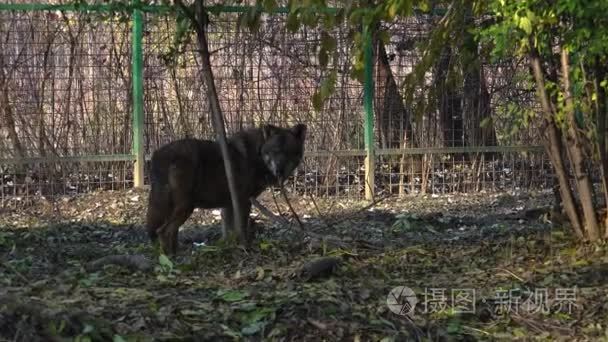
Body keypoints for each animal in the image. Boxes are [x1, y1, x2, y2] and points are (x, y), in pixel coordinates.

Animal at [145, 123, 306, 254]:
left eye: (289, 152)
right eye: (275, 151)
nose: (280, 170)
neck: (257, 154)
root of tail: (158, 154)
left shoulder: (228, 204)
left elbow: (228, 231)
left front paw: (227, 246)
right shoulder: (243, 201)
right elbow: (241, 228)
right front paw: (244, 247)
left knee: (170, 231)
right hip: (186, 206)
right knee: (164, 231)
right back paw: (171, 259)